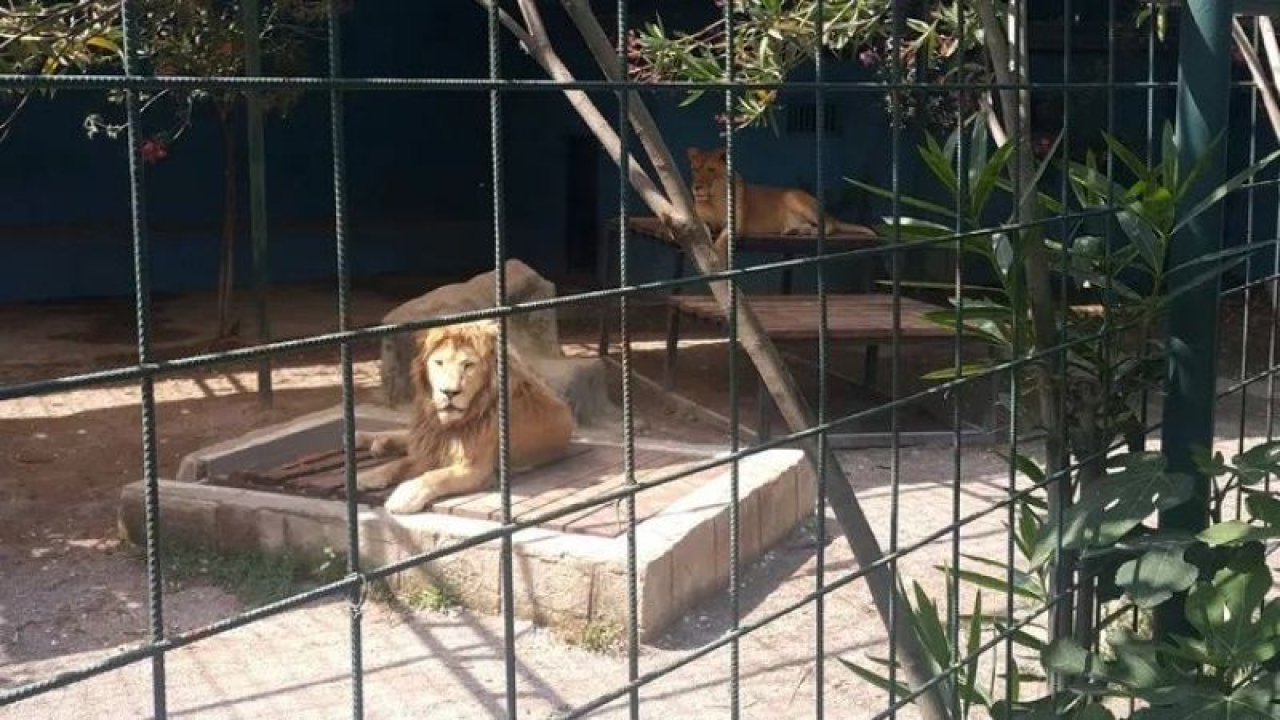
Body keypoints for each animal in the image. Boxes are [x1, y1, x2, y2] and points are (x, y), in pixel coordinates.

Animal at [350, 317, 570, 509]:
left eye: (468, 365)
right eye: (439, 363)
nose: (449, 392)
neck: (450, 424)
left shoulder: (476, 469)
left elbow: (436, 476)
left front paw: (404, 496)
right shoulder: (431, 448)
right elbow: (399, 464)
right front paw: (369, 476)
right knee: (405, 437)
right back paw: (367, 439)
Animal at [691, 144, 880, 254]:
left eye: (710, 169)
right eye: (695, 169)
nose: (696, 187)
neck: (713, 199)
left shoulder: (735, 224)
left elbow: (723, 240)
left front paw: (715, 255)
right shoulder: (698, 218)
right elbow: (703, 228)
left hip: (792, 197)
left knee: (828, 225)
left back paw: (809, 232)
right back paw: (794, 231)